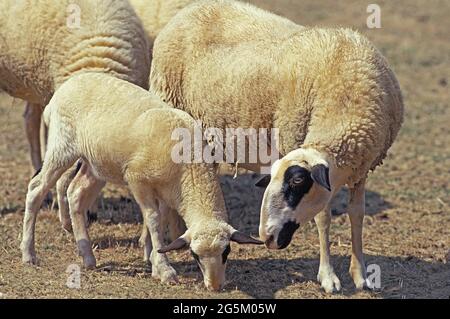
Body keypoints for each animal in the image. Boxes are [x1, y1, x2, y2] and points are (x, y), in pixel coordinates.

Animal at [22, 73, 264, 292]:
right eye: (194, 255)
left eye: (226, 252)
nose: (214, 287)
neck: (190, 167)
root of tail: (64, 88)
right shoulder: (137, 180)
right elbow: (154, 218)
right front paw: (165, 270)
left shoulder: (167, 191)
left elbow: (160, 218)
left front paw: (153, 259)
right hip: (62, 147)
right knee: (36, 189)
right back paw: (28, 253)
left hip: (97, 163)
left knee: (75, 193)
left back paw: (87, 256)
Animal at [150, 0, 404, 296]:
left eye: (296, 182)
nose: (266, 236)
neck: (346, 101)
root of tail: (188, 11)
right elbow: (324, 218)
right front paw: (328, 277)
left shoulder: (361, 169)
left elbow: (357, 215)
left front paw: (360, 274)